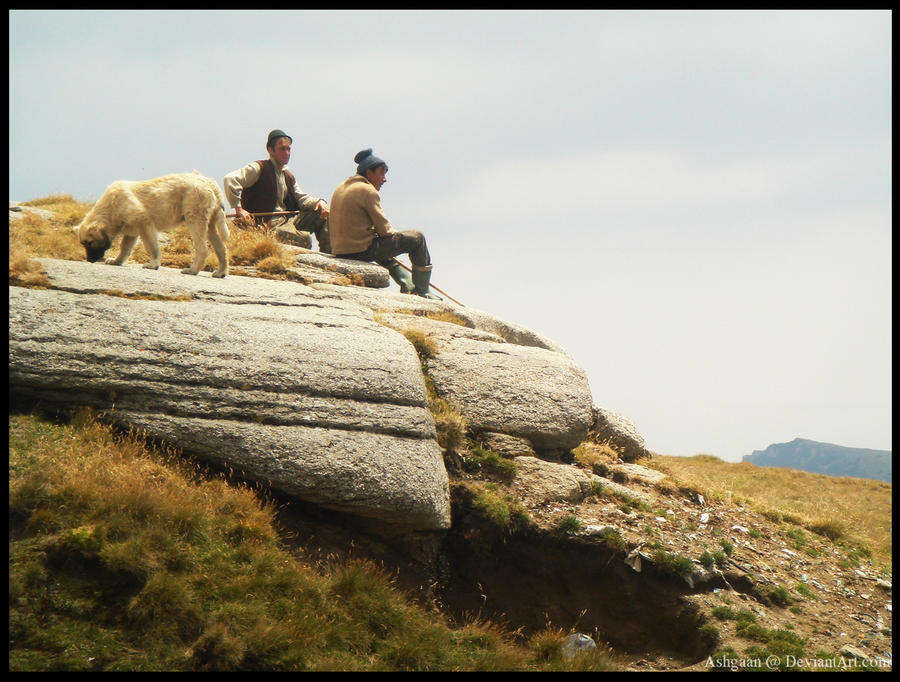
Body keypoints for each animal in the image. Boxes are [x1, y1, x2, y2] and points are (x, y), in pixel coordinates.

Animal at [74, 170, 230, 276]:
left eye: (89, 243)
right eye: (83, 243)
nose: (90, 259)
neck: (110, 207)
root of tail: (208, 181)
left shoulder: (139, 216)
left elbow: (149, 241)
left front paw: (152, 264)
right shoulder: (129, 224)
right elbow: (126, 244)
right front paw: (115, 261)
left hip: (193, 201)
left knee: (199, 236)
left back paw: (191, 269)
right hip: (211, 210)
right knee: (215, 237)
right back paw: (220, 272)